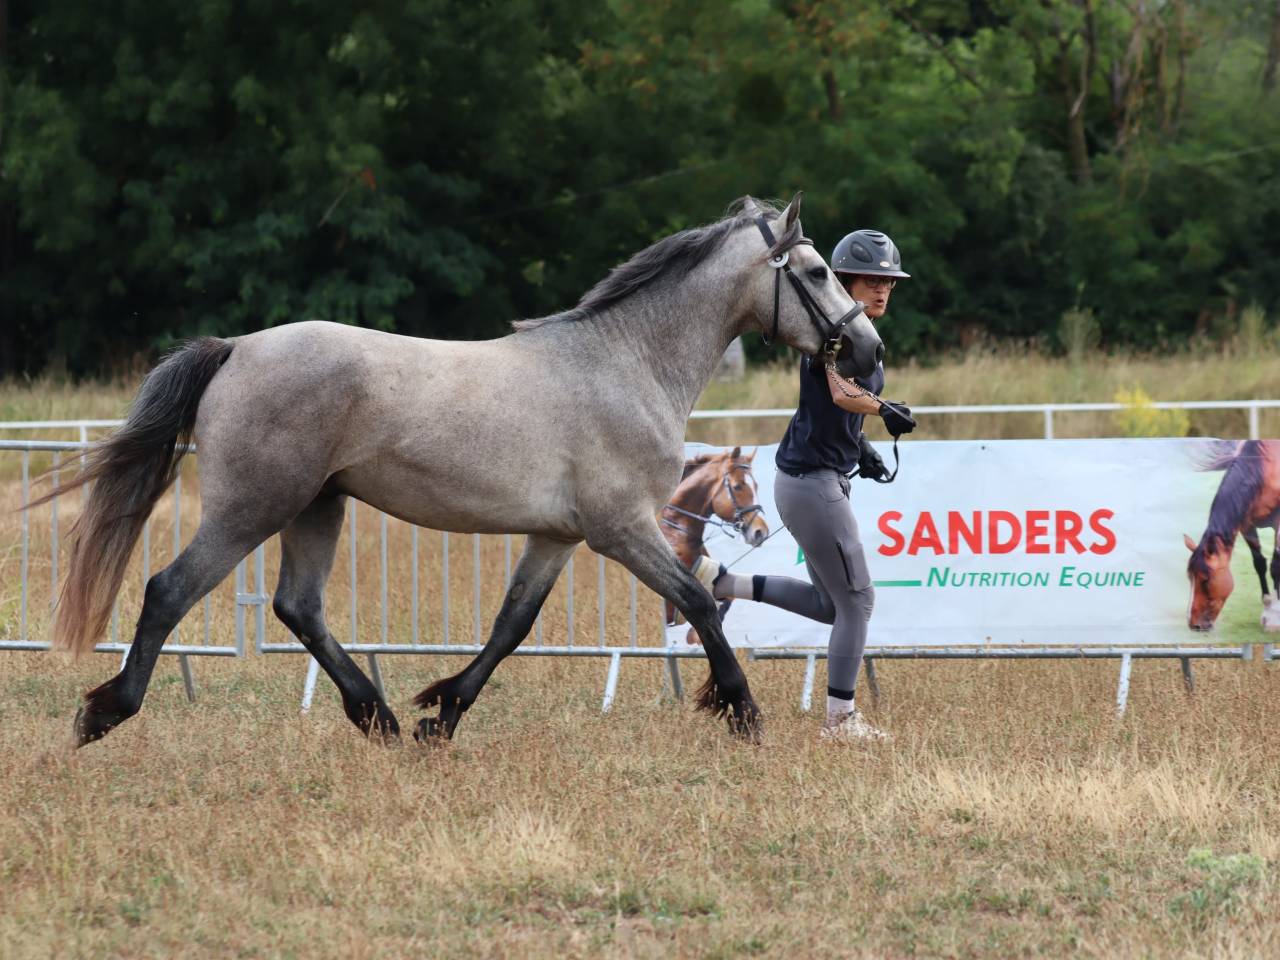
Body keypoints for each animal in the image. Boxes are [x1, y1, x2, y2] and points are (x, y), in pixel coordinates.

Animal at [1184, 440, 1280, 632]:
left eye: (1205, 580)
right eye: (1190, 577)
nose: (1194, 624)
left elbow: (1275, 566)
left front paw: (1274, 617)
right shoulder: (1246, 524)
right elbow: (1259, 564)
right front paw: (1268, 607)